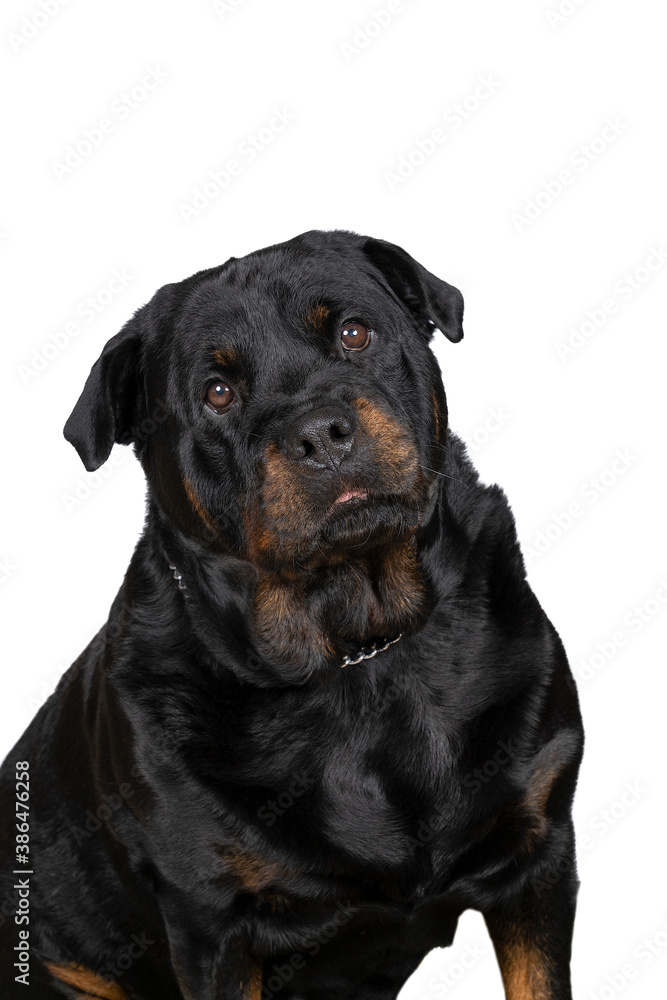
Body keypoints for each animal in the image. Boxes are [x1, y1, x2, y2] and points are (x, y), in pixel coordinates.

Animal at [0, 230, 584, 996]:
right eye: (218, 393)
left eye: (354, 333)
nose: (320, 433)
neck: (358, 653)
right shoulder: (213, 924)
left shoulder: (538, 851)